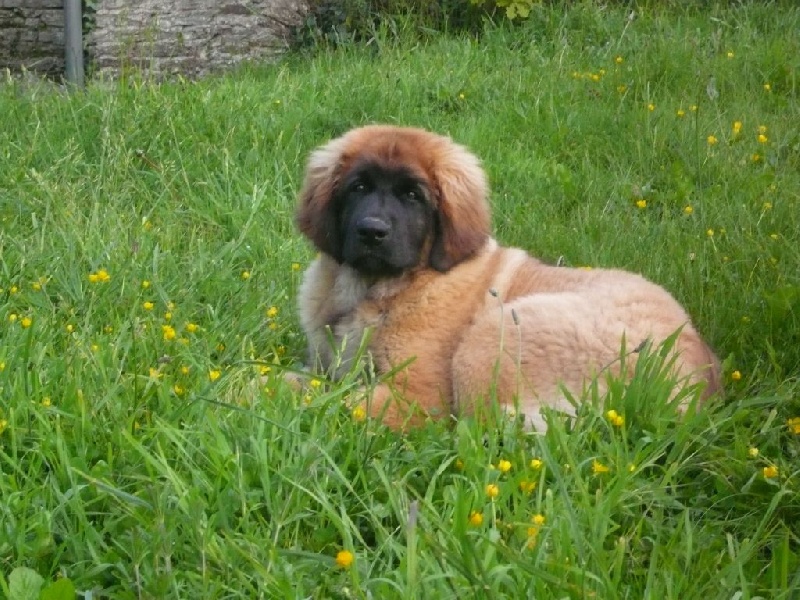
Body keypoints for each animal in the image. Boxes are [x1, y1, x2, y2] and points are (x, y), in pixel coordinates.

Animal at [295, 125, 720, 431]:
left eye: (413, 195)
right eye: (358, 188)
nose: (372, 231)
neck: (374, 289)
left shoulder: (417, 394)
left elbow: (326, 400)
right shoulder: (324, 365)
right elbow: (311, 383)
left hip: (489, 337)